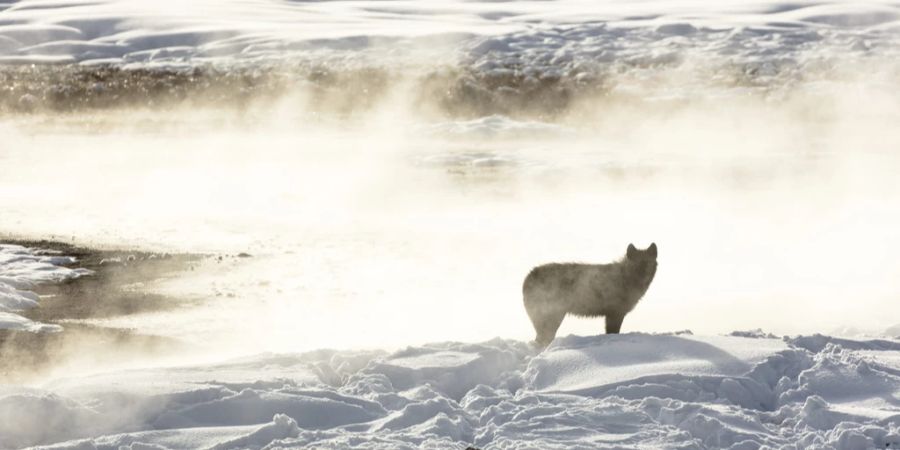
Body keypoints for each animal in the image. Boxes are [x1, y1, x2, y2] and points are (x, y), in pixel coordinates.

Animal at [524, 244, 656, 346]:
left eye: (649, 263)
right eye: (636, 264)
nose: (644, 275)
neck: (625, 278)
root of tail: (527, 277)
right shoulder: (615, 313)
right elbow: (613, 332)